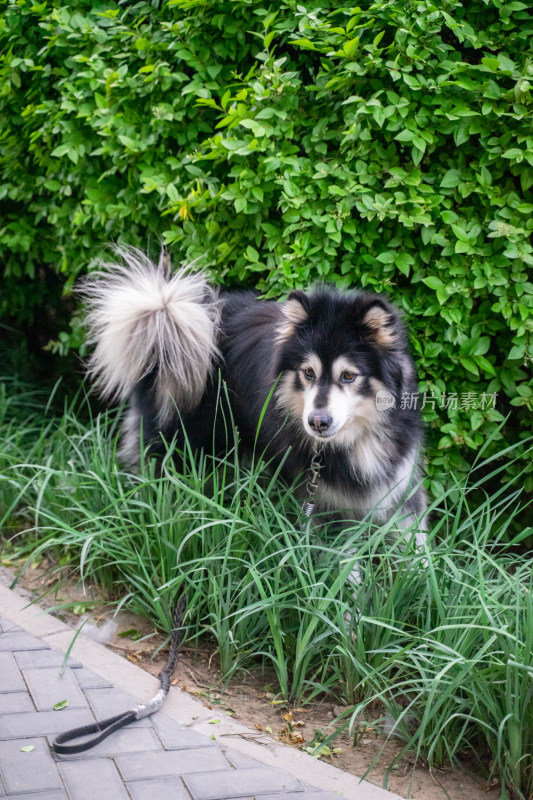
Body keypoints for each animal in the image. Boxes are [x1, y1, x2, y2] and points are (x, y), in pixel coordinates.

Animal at [83, 248, 426, 552]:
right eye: (309, 373)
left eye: (349, 376)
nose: (317, 422)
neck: (356, 440)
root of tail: (165, 314)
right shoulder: (323, 503)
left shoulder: (400, 486)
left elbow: (419, 548)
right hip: (179, 442)